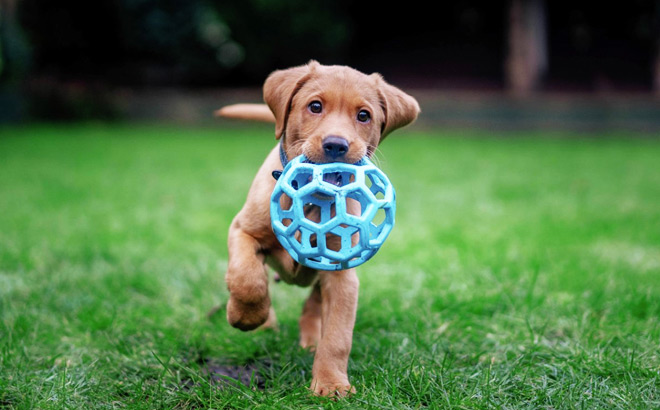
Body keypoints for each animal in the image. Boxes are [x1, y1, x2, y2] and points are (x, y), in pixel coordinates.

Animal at [218, 61, 422, 398]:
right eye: (315, 106)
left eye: (363, 115)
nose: (336, 145)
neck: (314, 200)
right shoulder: (243, 230)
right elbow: (247, 279)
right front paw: (245, 317)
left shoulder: (343, 272)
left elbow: (338, 337)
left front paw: (331, 383)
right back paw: (266, 322)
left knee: (312, 305)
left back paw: (311, 340)